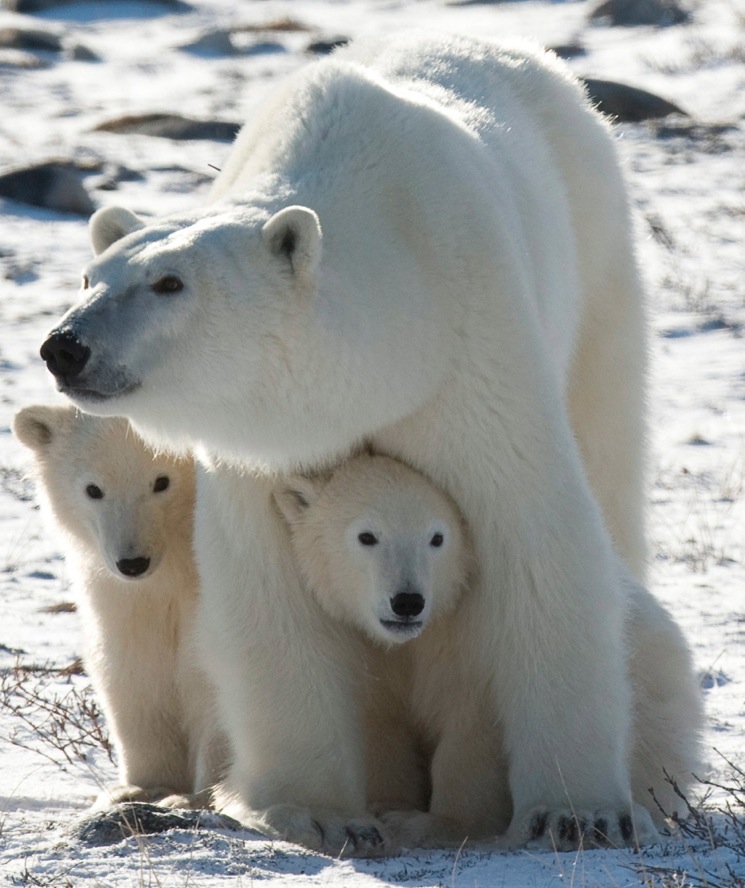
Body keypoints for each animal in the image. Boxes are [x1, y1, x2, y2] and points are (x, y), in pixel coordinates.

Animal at [40, 33, 680, 852]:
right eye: (90, 277)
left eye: (169, 283)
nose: (65, 347)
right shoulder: (262, 450)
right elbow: (264, 586)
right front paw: (317, 810)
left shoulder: (471, 354)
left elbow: (540, 536)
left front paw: (574, 813)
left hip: (595, 260)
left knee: (607, 447)